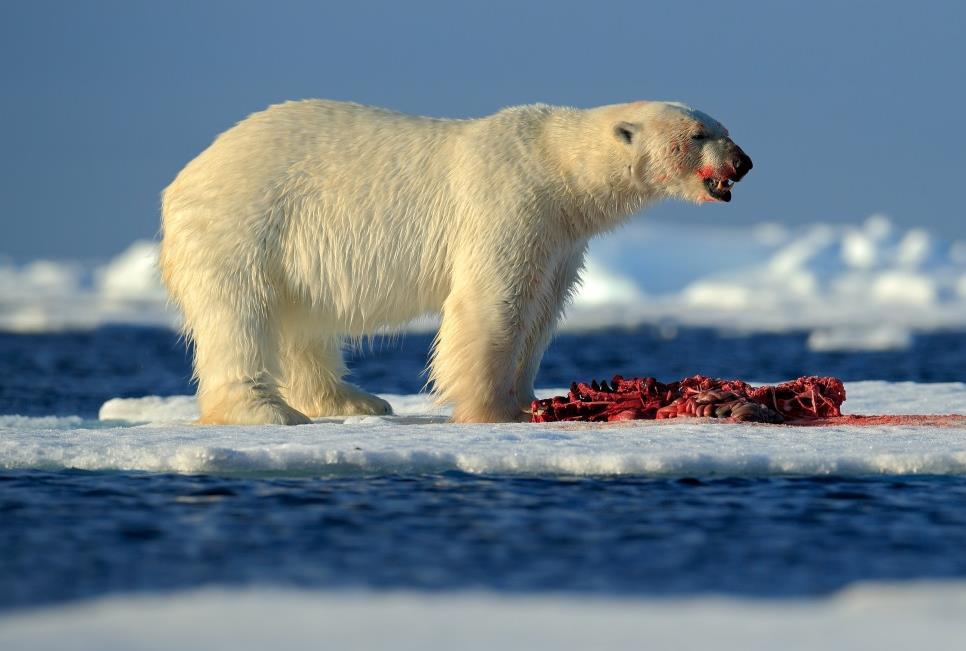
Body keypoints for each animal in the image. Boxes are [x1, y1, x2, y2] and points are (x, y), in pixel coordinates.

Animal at [159, 97, 752, 422]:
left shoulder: (560, 239)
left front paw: (527, 400)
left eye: (725, 128)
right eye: (698, 134)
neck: (558, 167)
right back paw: (267, 411)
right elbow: (493, 303)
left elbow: (541, 312)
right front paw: (491, 410)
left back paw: (356, 401)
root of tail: (184, 177)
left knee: (302, 324)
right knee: (239, 315)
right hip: (244, 224)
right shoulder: (510, 203)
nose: (744, 162)